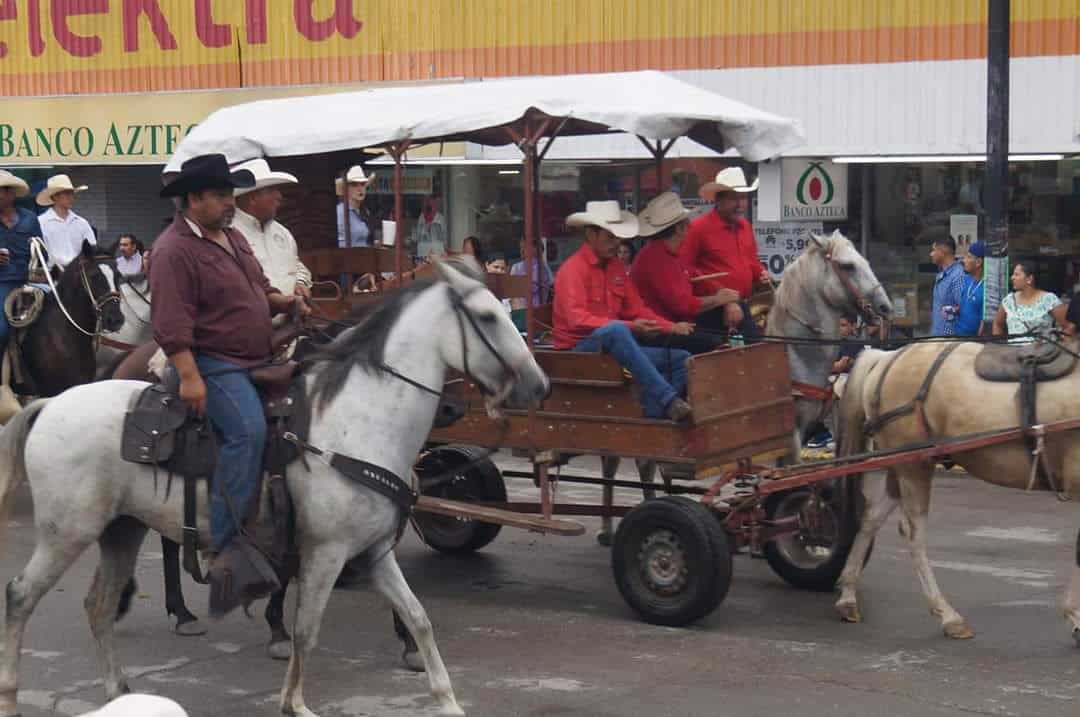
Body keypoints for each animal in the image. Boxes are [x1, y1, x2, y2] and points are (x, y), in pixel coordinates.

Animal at [0, 259, 548, 717]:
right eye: (487, 317)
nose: (539, 385)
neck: (357, 419)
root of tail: (51, 404)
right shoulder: (326, 552)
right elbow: (307, 630)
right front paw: (295, 703)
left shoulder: (372, 551)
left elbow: (417, 617)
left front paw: (447, 699)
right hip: (66, 533)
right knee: (21, 595)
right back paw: (12, 695)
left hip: (122, 529)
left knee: (99, 604)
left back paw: (118, 690)